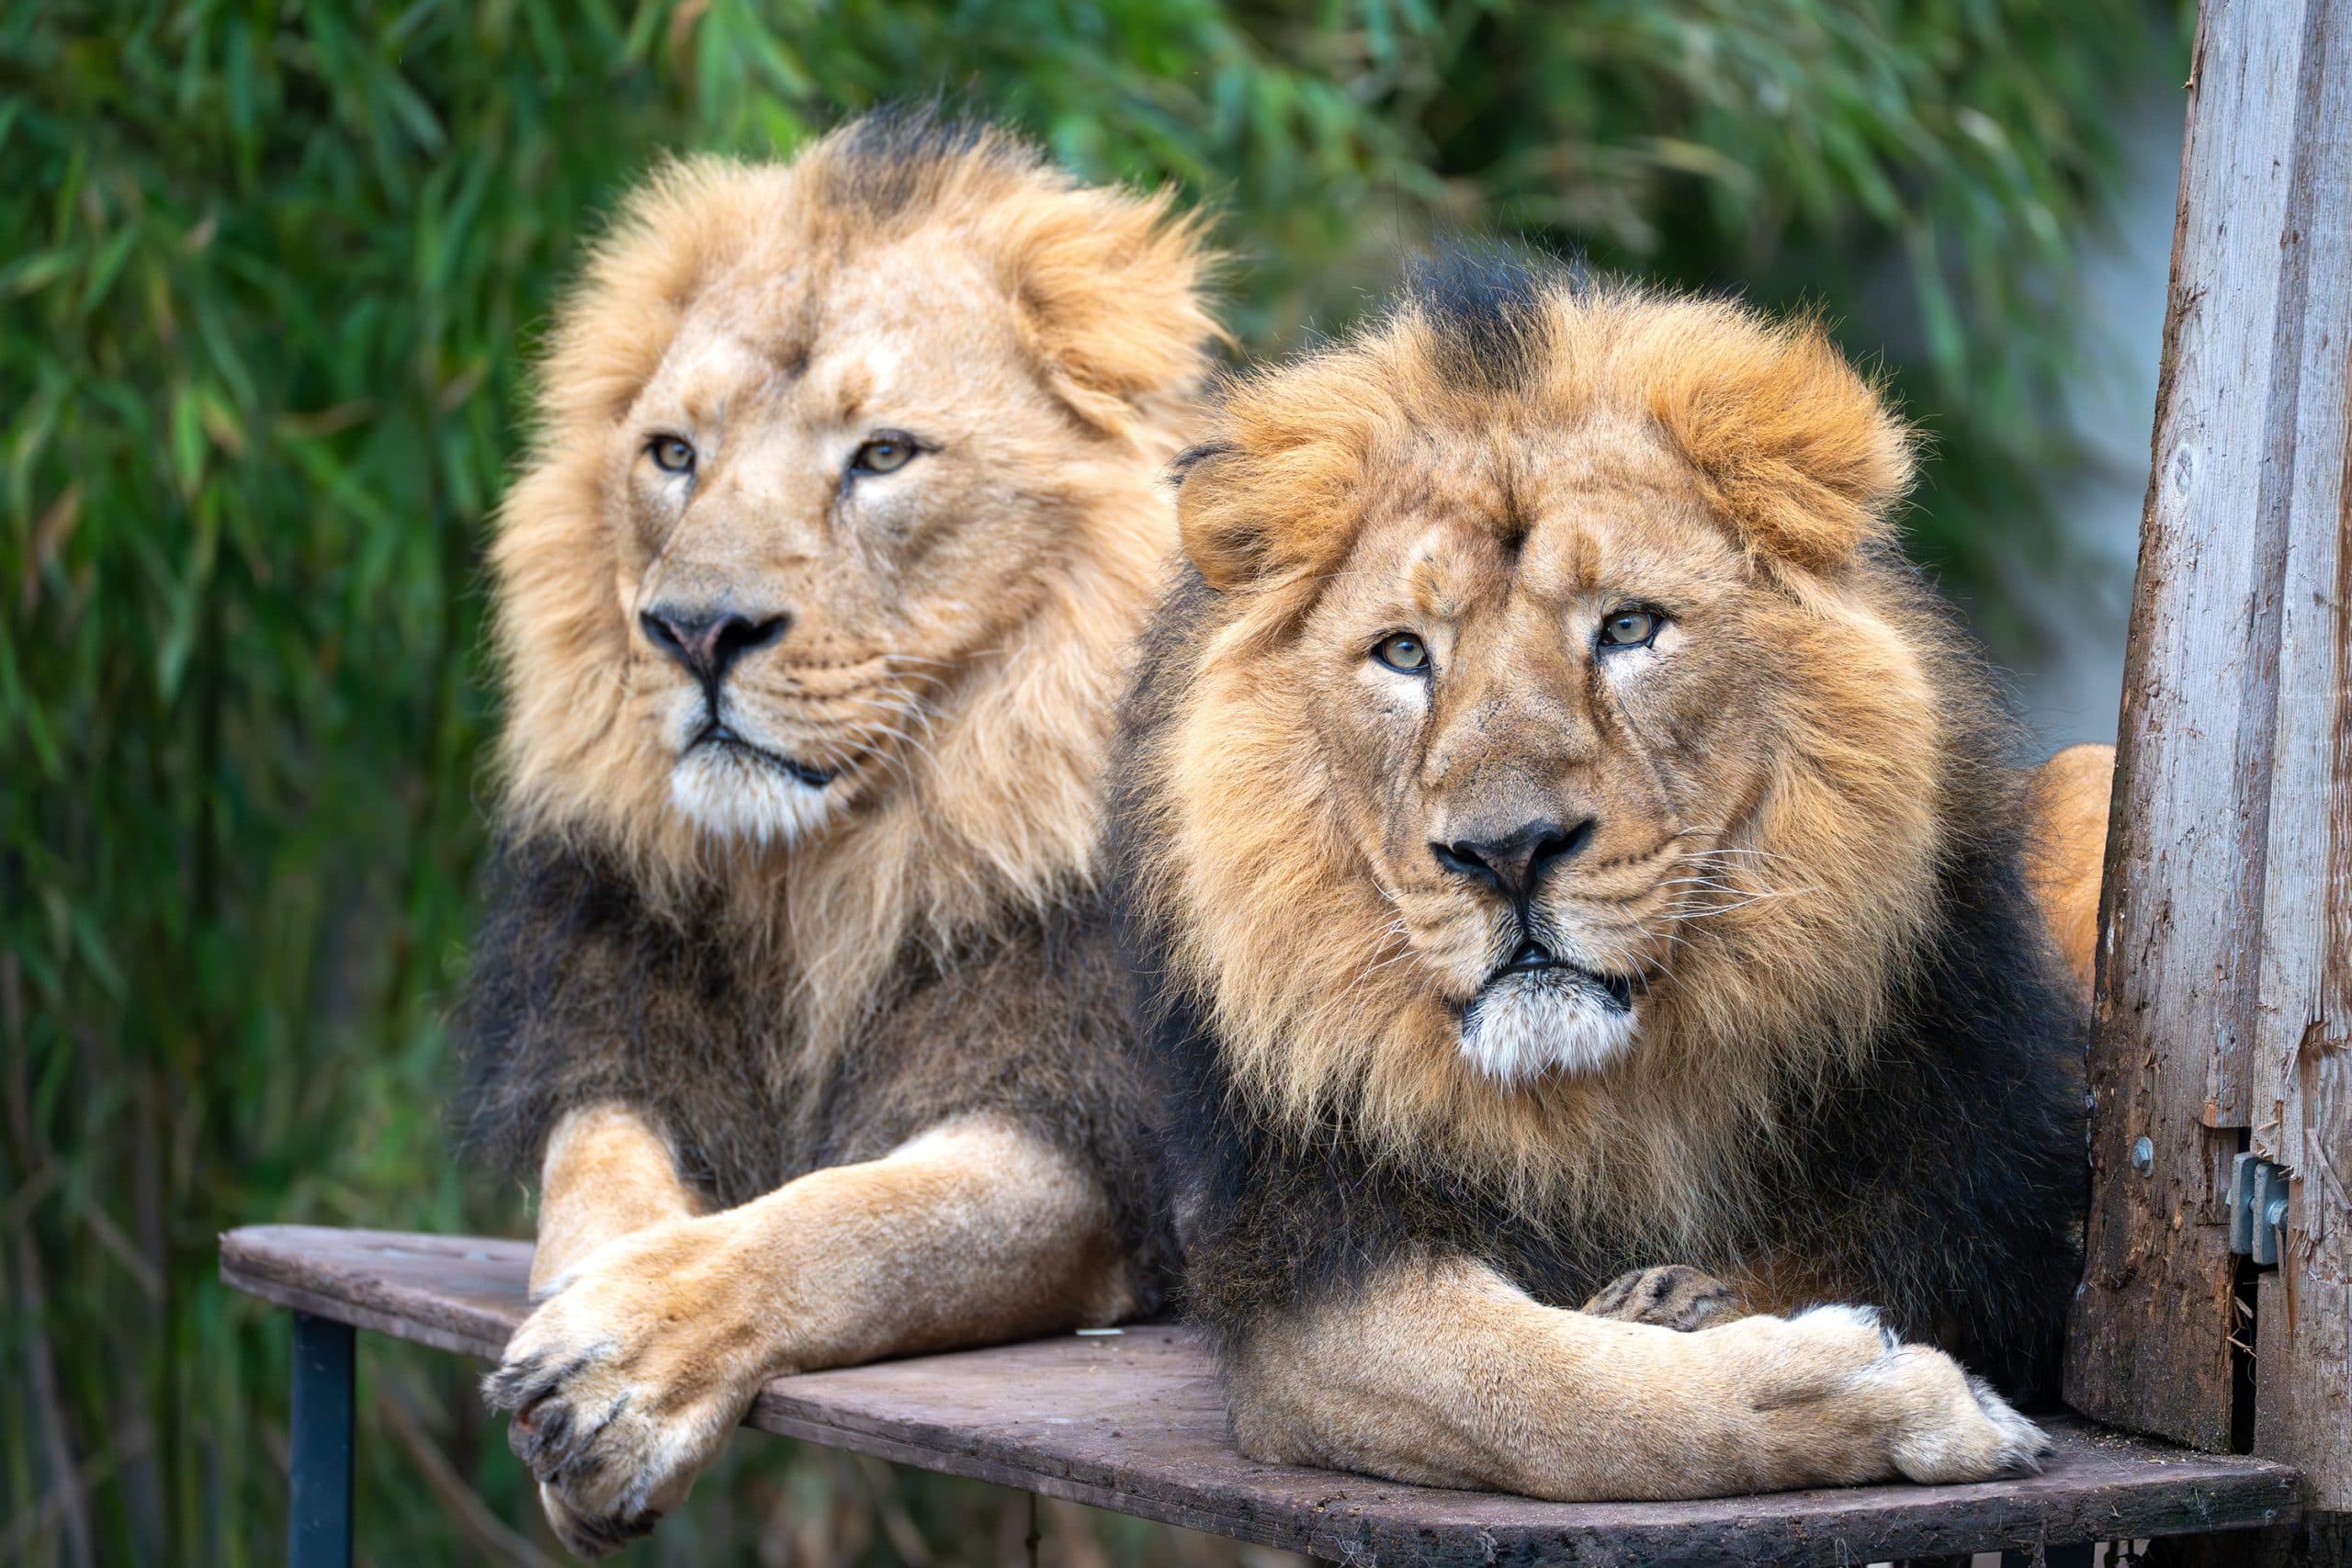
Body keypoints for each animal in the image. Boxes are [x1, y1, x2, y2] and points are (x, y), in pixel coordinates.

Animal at [453, 111, 1216, 1555]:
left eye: (883, 456)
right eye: (673, 455)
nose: (696, 630)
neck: (830, 869)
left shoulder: (1079, 1122)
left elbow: (852, 1219)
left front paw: (625, 1356)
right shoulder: (618, 1029)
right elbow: (595, 1182)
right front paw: (591, 1300)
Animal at [1111, 249, 2110, 1502]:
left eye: (1629, 628)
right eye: (1403, 652)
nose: (1506, 853)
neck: (1614, 1116)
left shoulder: (1978, 1220)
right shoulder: (1298, 1265)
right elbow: (1531, 1391)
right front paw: (1870, 1392)